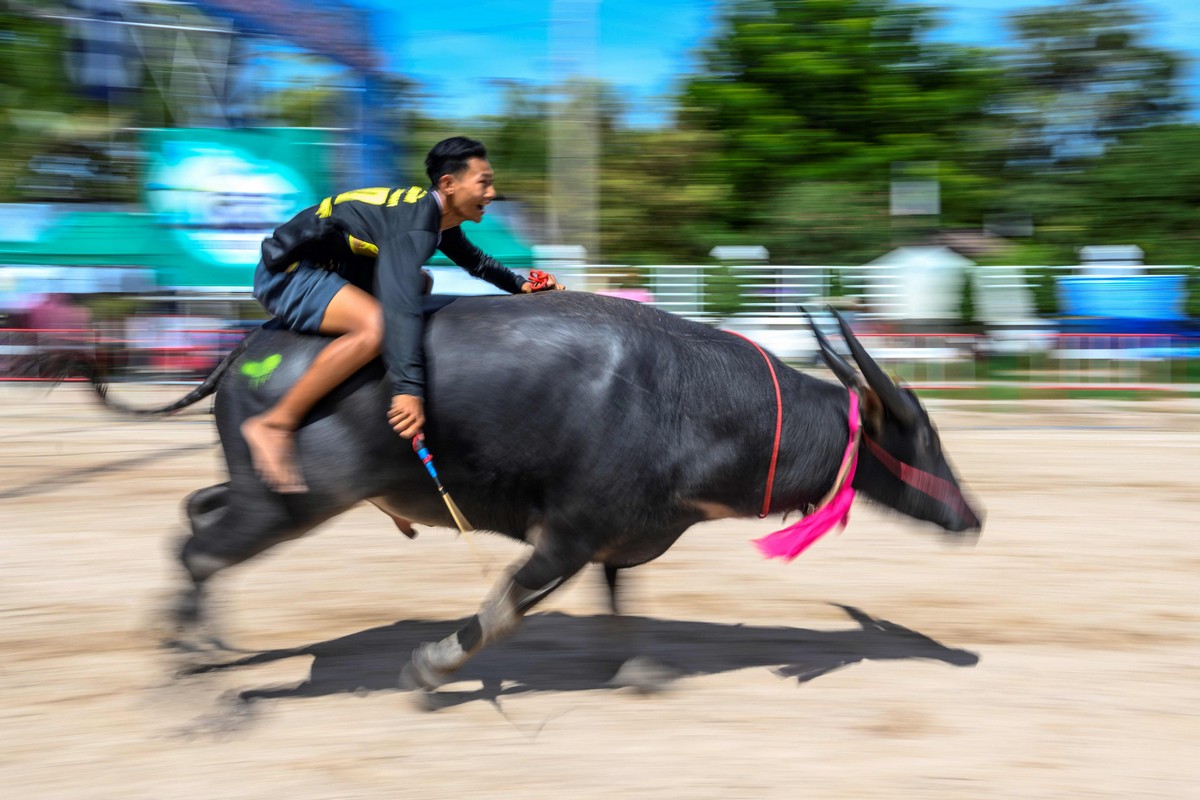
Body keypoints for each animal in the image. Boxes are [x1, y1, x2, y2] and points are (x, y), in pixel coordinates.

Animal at [93, 292, 979, 695]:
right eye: (927, 437)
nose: (972, 517)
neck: (692, 404)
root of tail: (249, 343)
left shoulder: (621, 535)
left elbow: (622, 602)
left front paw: (637, 668)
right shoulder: (567, 533)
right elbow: (505, 609)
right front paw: (433, 665)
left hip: (254, 485)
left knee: (194, 516)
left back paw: (202, 640)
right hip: (290, 502)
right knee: (201, 549)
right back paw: (187, 655)